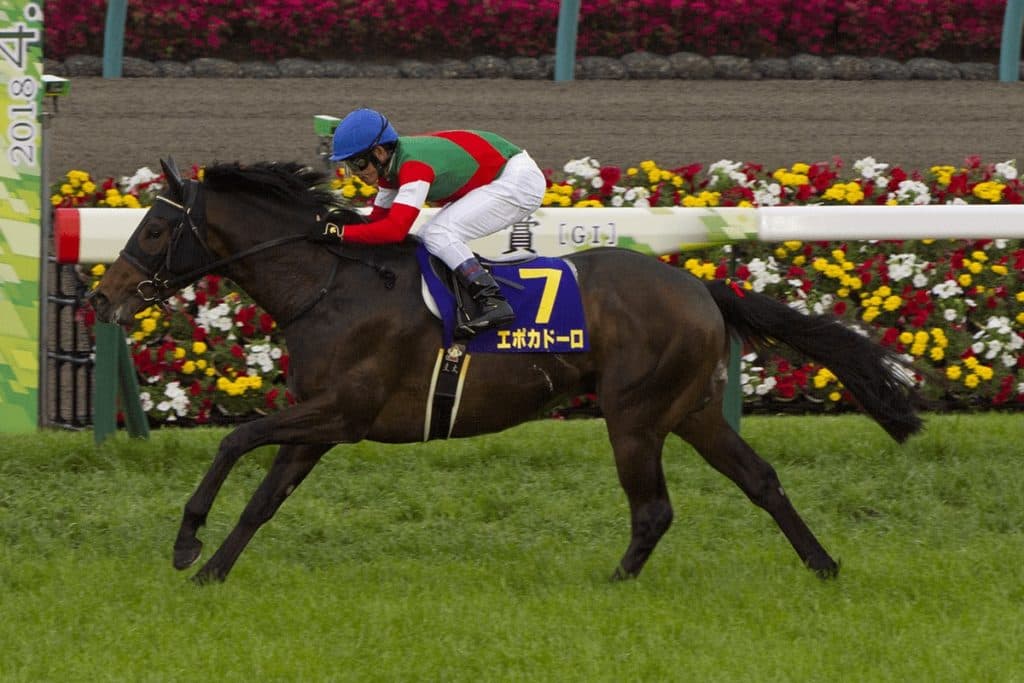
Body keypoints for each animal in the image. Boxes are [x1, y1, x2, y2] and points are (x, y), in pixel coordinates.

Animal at [90, 158, 924, 584]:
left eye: (156, 229)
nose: (105, 293)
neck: (328, 286)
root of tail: (697, 285)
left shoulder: (342, 413)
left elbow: (234, 441)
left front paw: (186, 543)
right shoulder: (320, 423)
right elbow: (266, 498)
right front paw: (210, 570)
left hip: (635, 414)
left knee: (654, 509)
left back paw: (614, 582)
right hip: (690, 409)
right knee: (761, 480)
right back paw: (823, 565)